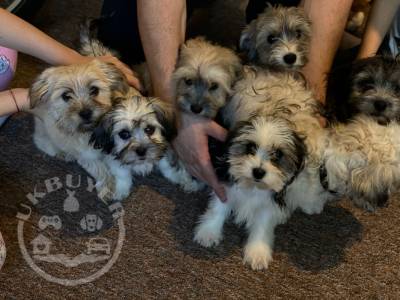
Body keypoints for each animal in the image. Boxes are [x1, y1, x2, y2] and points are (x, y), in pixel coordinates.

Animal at [195, 115, 306, 270]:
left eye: (278, 154)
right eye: (250, 147)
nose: (258, 172)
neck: (254, 187)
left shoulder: (268, 204)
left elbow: (262, 224)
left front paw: (258, 251)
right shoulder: (226, 186)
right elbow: (218, 208)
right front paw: (209, 231)